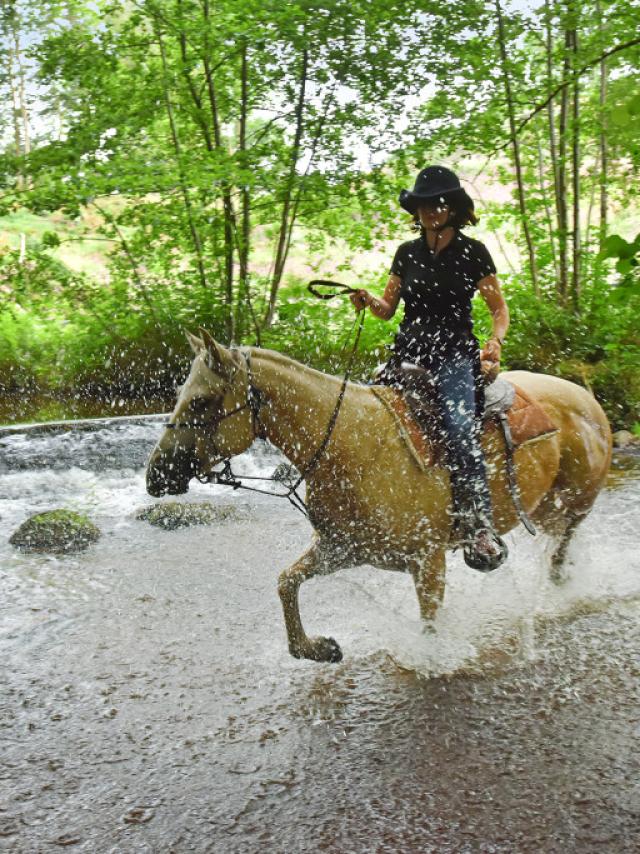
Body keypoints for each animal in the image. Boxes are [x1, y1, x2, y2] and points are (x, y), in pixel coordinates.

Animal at [148, 332, 612, 664]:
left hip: (573, 502)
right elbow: (286, 582)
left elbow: (429, 625)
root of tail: (587, 396)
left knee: (563, 544)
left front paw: (433, 661)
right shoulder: (344, 548)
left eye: (201, 401)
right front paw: (319, 648)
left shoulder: (427, 561)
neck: (350, 445)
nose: (156, 475)